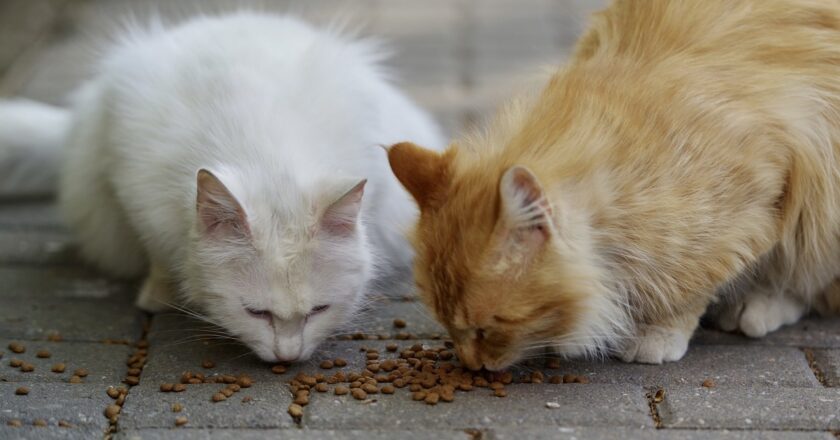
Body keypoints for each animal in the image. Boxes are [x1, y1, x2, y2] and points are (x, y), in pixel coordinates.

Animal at [0, 13, 446, 362]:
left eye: (318, 310)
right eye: (256, 313)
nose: (288, 356)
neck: (268, 156)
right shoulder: (134, 185)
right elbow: (159, 253)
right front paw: (160, 293)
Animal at [390, 0, 840, 370]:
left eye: (488, 327)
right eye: (447, 325)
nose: (470, 363)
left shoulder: (758, 205)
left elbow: (689, 285)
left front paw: (658, 332)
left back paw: (758, 308)